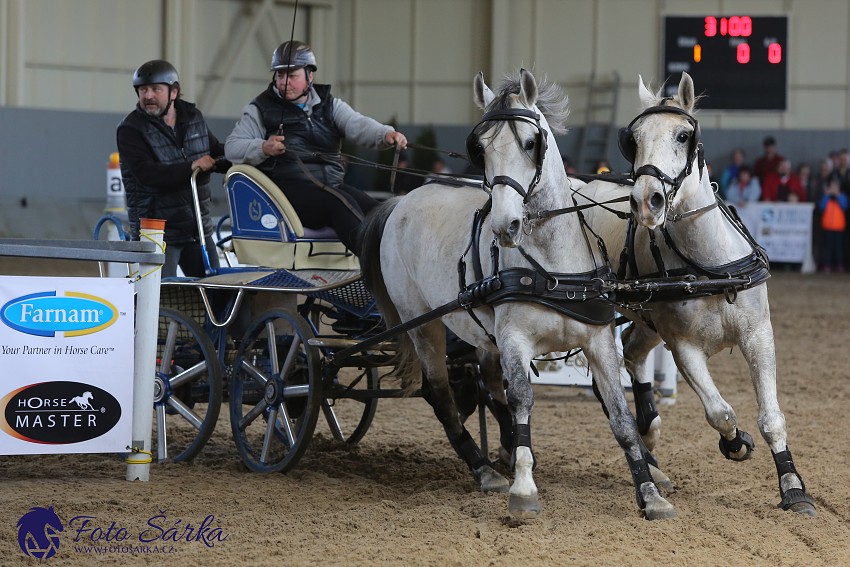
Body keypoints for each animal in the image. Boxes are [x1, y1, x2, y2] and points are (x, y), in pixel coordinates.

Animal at [360, 69, 676, 520]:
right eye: (481, 149)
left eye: (531, 143)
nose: (504, 225)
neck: (555, 268)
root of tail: (400, 201)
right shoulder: (514, 339)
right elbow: (523, 399)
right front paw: (524, 487)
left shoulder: (599, 342)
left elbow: (620, 416)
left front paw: (649, 492)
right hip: (423, 324)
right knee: (441, 394)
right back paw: (484, 469)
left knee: (488, 386)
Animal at [572, 73, 812, 516]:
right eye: (633, 139)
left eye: (684, 135)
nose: (645, 200)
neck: (709, 268)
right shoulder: (683, 347)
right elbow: (721, 412)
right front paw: (736, 443)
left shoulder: (759, 335)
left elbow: (771, 417)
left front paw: (793, 487)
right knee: (609, 378)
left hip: (646, 322)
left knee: (632, 351)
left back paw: (650, 439)